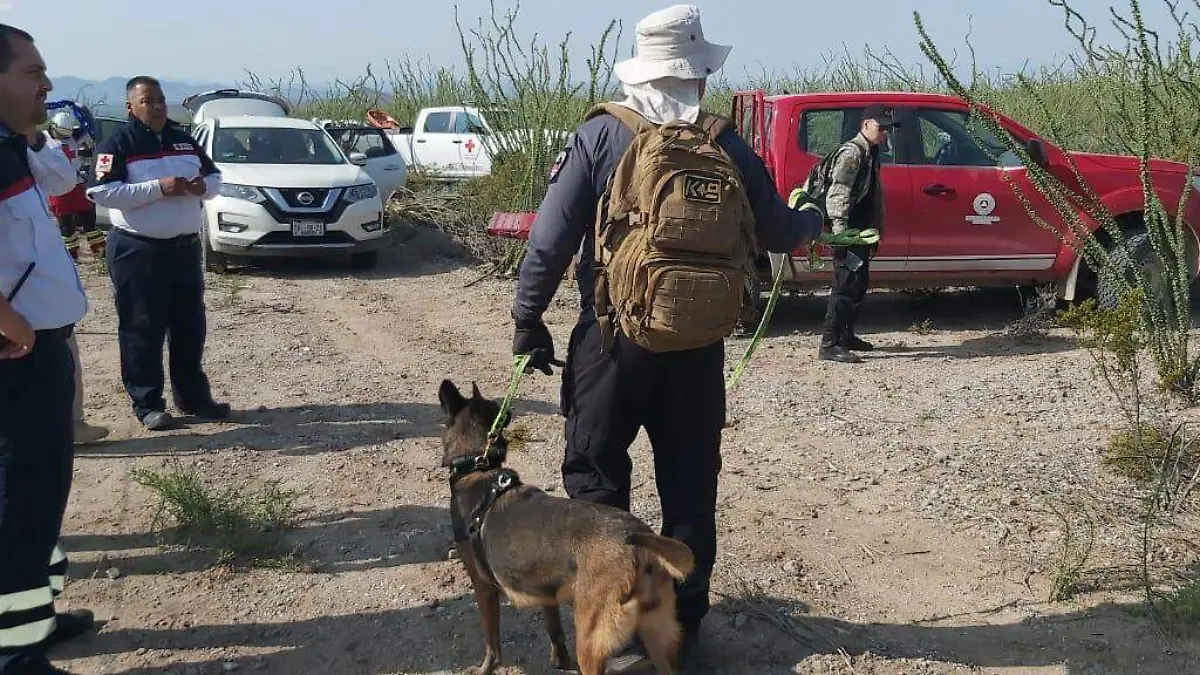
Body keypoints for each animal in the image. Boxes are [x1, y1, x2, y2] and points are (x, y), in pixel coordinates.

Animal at [439, 379, 696, 672]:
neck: (478, 468)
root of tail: (636, 538)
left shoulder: (484, 588)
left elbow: (492, 643)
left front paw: (485, 668)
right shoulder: (545, 594)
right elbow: (555, 633)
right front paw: (560, 662)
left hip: (590, 639)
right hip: (657, 634)